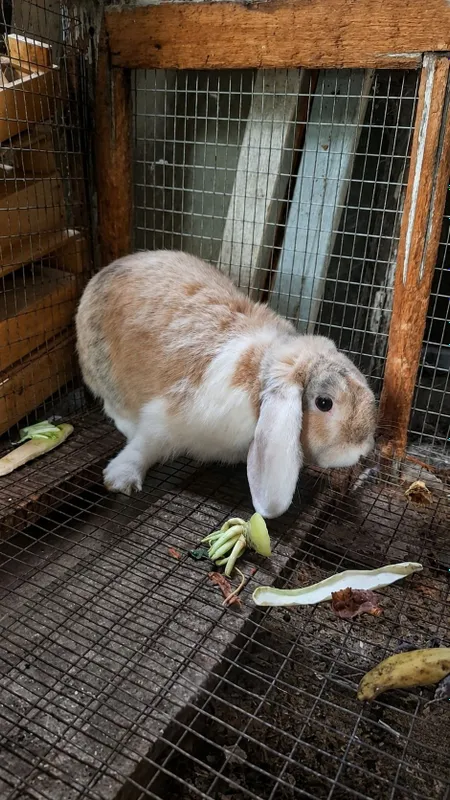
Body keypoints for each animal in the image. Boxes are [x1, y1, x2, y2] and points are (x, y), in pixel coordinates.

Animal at [76, 250, 376, 518]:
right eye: (324, 403)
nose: (362, 450)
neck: (258, 378)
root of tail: (103, 272)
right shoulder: (165, 420)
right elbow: (146, 445)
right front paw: (121, 478)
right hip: (103, 371)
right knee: (114, 408)